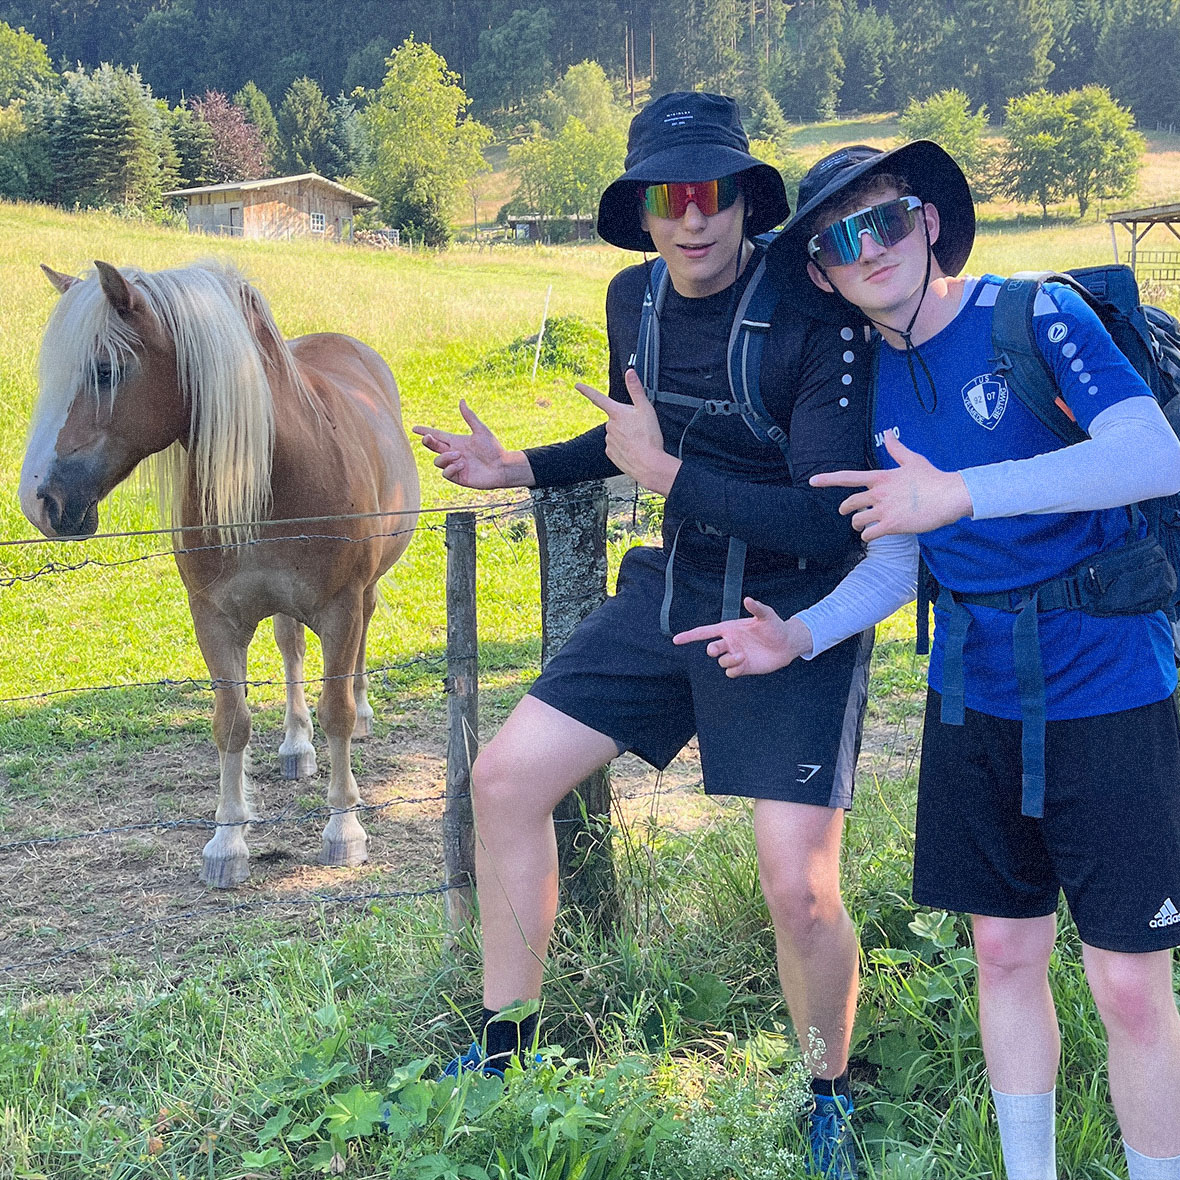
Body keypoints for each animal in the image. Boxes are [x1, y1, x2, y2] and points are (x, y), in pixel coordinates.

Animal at [18, 259, 420, 888]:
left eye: (105, 371)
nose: (39, 502)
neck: (277, 469)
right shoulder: (214, 617)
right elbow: (231, 722)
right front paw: (227, 842)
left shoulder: (340, 606)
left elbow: (335, 710)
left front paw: (344, 829)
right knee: (290, 649)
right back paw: (295, 746)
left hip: (365, 591)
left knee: (356, 657)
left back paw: (361, 718)